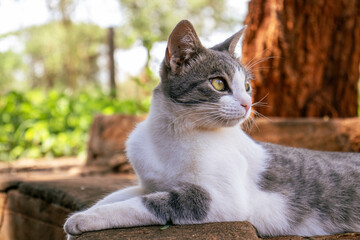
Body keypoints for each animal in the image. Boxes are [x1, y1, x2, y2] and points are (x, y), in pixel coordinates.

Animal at [64, 19, 360, 238]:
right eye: (218, 83)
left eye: (247, 86)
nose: (248, 103)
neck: (173, 134)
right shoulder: (148, 182)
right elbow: (119, 195)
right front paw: (82, 216)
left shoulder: (224, 200)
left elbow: (148, 203)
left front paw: (82, 220)